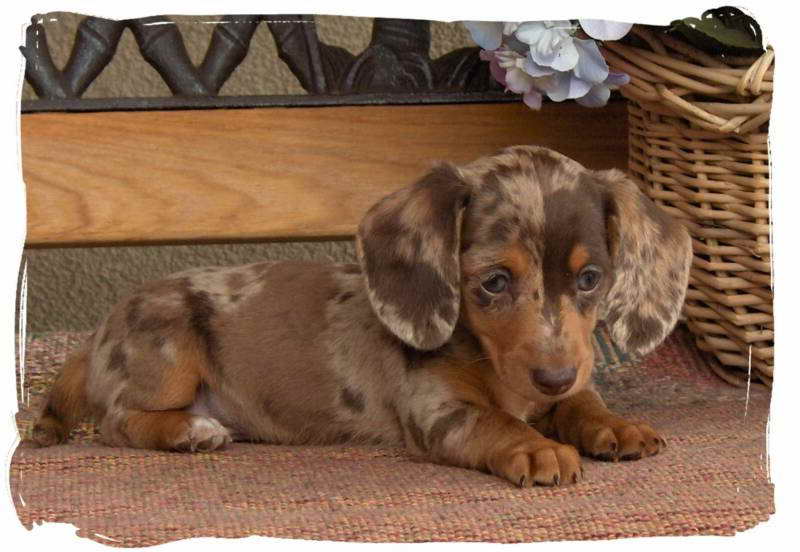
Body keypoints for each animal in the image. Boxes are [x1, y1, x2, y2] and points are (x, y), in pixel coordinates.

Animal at [29, 146, 692, 488]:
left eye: (590, 278)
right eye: (494, 282)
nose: (552, 378)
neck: (486, 356)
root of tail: (97, 334)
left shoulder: (564, 378)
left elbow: (584, 403)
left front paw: (616, 425)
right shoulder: (440, 412)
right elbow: (498, 423)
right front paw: (539, 449)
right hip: (168, 348)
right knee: (117, 421)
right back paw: (193, 431)